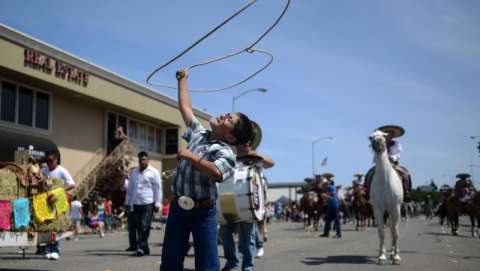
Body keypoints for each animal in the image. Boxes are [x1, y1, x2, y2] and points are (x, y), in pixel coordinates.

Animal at [370, 130, 404, 266]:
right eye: (370, 137)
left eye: (384, 136)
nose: (378, 143)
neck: (385, 181)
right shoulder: (378, 209)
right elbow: (381, 232)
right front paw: (381, 256)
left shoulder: (395, 208)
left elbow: (396, 232)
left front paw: (396, 257)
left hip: (394, 210)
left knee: (394, 230)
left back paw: (394, 252)